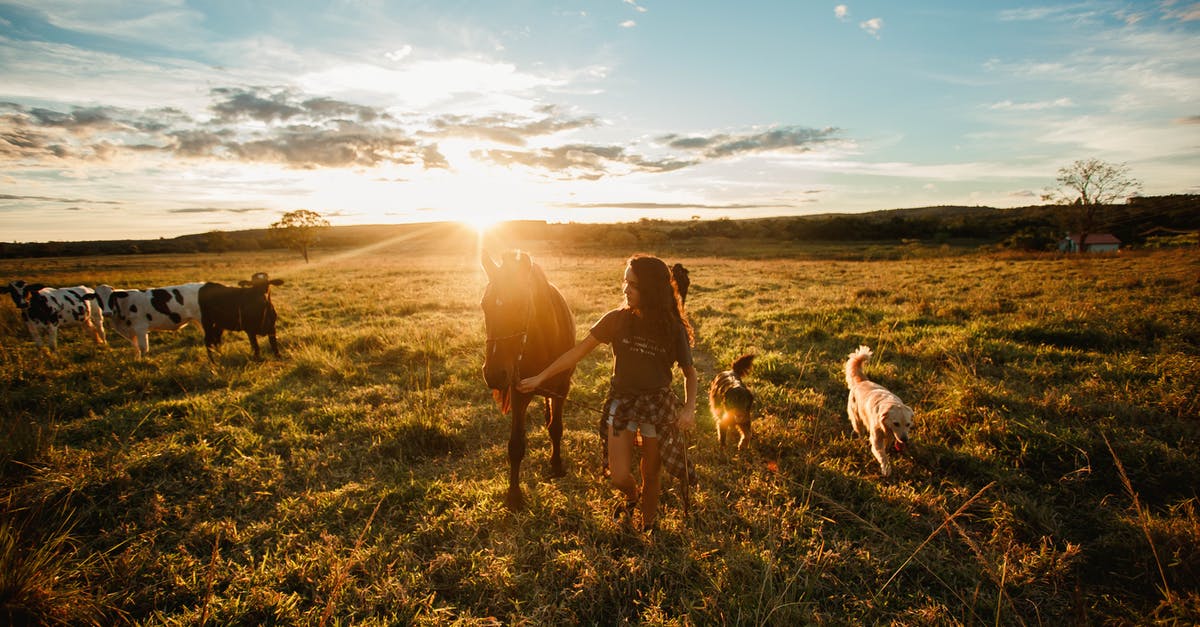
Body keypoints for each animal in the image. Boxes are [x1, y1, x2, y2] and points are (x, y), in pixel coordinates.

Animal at [477, 248, 576, 506]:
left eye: (521, 304)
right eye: (484, 305)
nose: (494, 373)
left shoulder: (561, 390)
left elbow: (556, 428)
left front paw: (557, 465)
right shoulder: (519, 393)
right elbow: (516, 445)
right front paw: (513, 496)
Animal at [849, 343, 912, 475]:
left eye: (908, 424)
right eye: (896, 423)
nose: (904, 440)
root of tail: (862, 381)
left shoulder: (891, 436)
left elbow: (886, 447)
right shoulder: (876, 439)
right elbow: (882, 454)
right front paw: (886, 468)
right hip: (857, 419)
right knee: (860, 433)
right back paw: (862, 444)